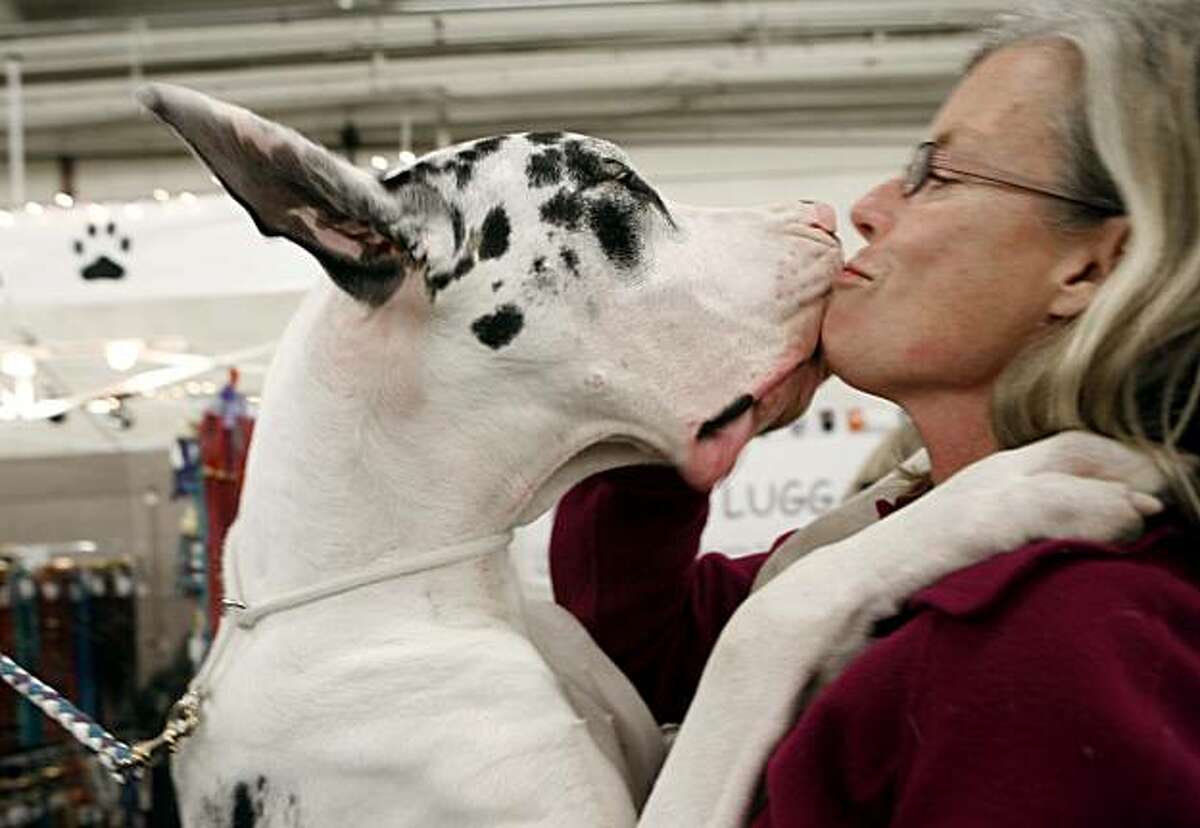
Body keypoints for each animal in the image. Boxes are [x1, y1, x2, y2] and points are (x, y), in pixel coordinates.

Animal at [140, 84, 1161, 825]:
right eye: (618, 194)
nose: (825, 215)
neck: (398, 586)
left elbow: (779, 568)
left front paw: (905, 488)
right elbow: (762, 625)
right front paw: (1016, 487)